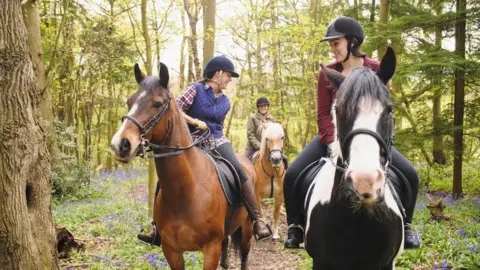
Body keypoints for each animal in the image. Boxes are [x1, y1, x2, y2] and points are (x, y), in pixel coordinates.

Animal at [111, 62, 255, 268]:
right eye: (129, 101)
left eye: (157, 103)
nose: (120, 144)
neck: (186, 190)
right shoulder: (171, 250)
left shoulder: (211, 249)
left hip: (247, 228)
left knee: (244, 255)